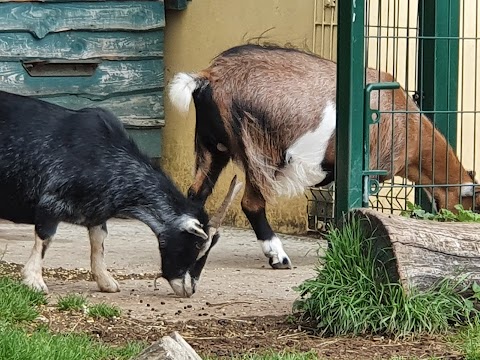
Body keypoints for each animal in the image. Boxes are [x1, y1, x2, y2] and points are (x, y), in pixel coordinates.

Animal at [0, 90, 240, 298]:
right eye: (197, 245)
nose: (189, 290)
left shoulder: (97, 211)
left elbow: (99, 242)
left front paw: (106, 282)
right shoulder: (51, 203)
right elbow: (45, 238)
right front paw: (34, 280)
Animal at [169, 44, 480, 270]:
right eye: (474, 205)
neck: (407, 122)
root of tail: (207, 78)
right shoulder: (367, 170)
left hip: (213, 148)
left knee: (196, 193)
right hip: (258, 148)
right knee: (251, 204)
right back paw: (278, 257)